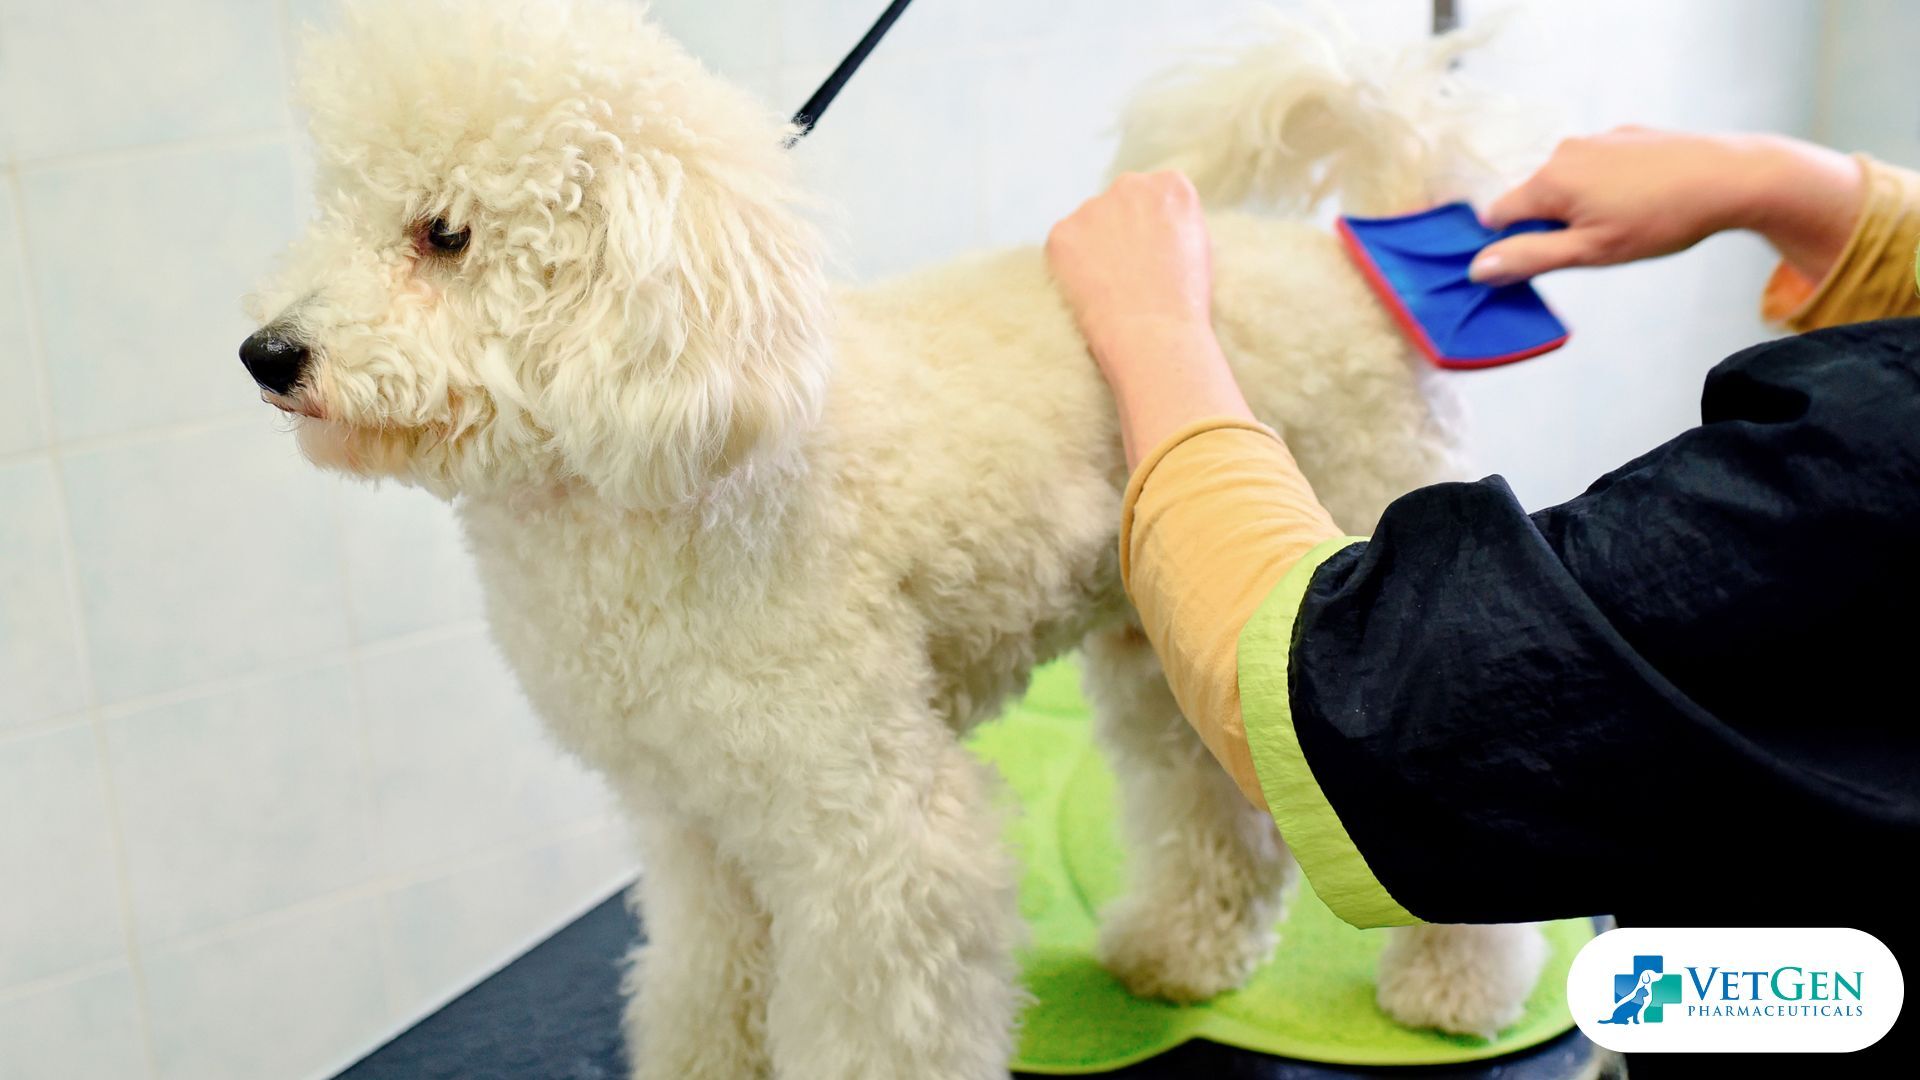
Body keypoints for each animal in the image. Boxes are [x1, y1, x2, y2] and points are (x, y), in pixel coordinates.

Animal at [243, 4, 1543, 1068]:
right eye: (336, 208)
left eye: (444, 234)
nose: (266, 353)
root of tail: (1352, 255)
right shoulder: (696, 822)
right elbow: (706, 982)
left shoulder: (871, 829)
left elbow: (882, 1013)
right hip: (1167, 648)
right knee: (1214, 812)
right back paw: (1183, 954)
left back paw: (1451, 992)